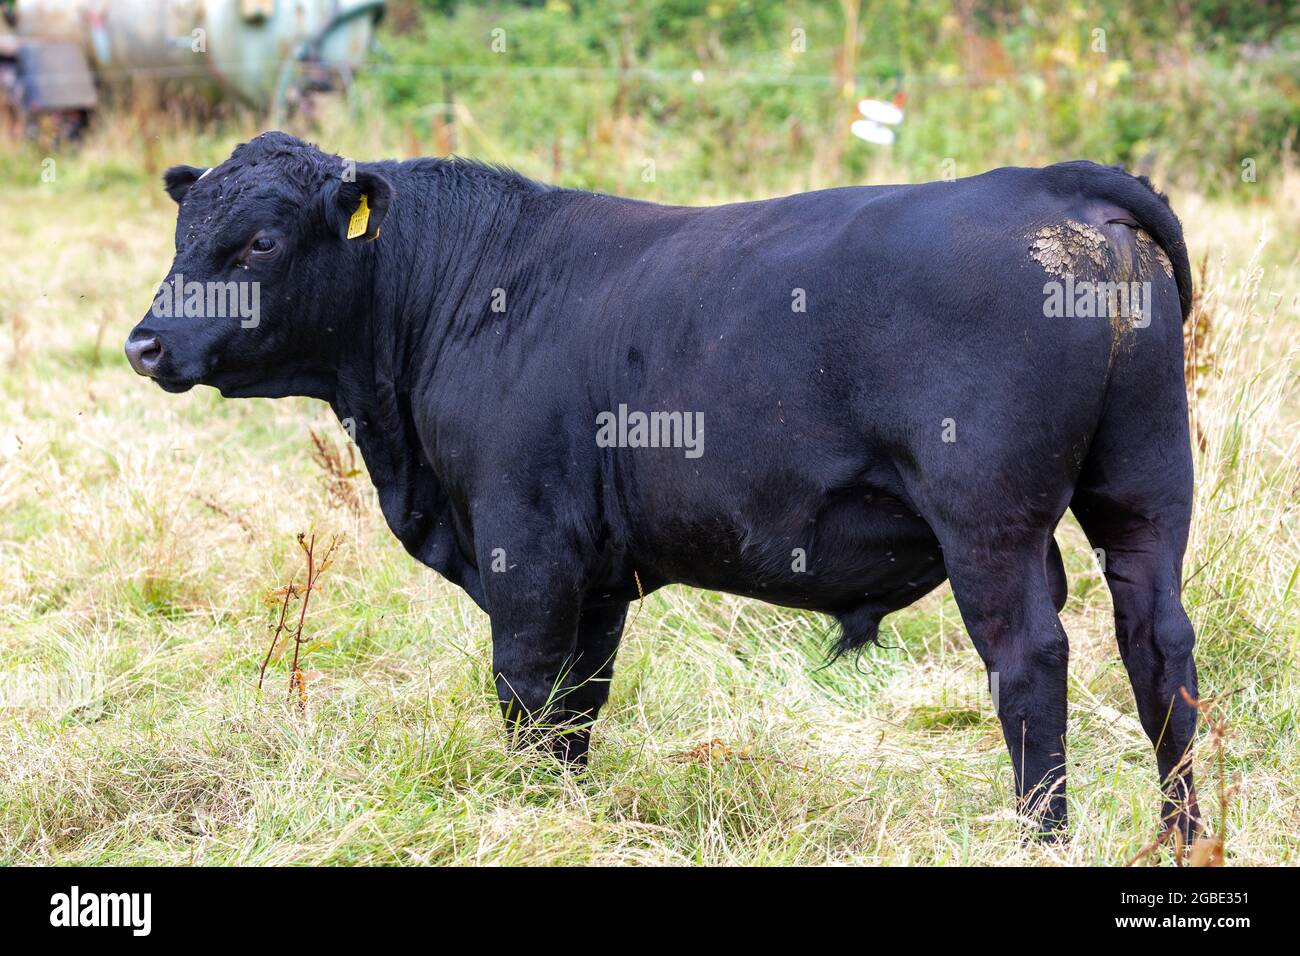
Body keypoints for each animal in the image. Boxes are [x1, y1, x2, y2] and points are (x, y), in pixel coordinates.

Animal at [126, 131, 1199, 841]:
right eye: (181, 231)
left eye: (260, 242)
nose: (145, 343)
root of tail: (1053, 183)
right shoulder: (596, 576)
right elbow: (576, 707)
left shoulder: (527, 548)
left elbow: (527, 691)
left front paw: (530, 815)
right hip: (1146, 493)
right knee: (1158, 647)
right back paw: (1181, 832)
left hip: (990, 526)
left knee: (1030, 661)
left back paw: (1043, 837)